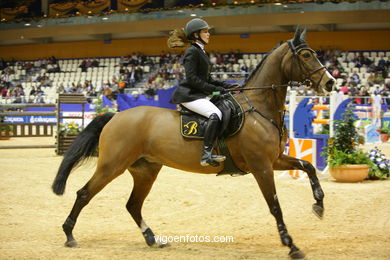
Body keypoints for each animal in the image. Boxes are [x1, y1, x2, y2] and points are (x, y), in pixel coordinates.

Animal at [52, 27, 336, 258]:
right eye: (307, 55)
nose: (330, 82)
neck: (259, 107)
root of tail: (116, 116)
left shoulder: (274, 160)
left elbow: (308, 167)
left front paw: (319, 205)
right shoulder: (261, 166)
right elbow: (275, 206)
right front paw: (292, 245)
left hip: (145, 170)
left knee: (133, 205)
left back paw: (153, 239)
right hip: (112, 165)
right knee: (84, 194)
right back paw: (69, 235)